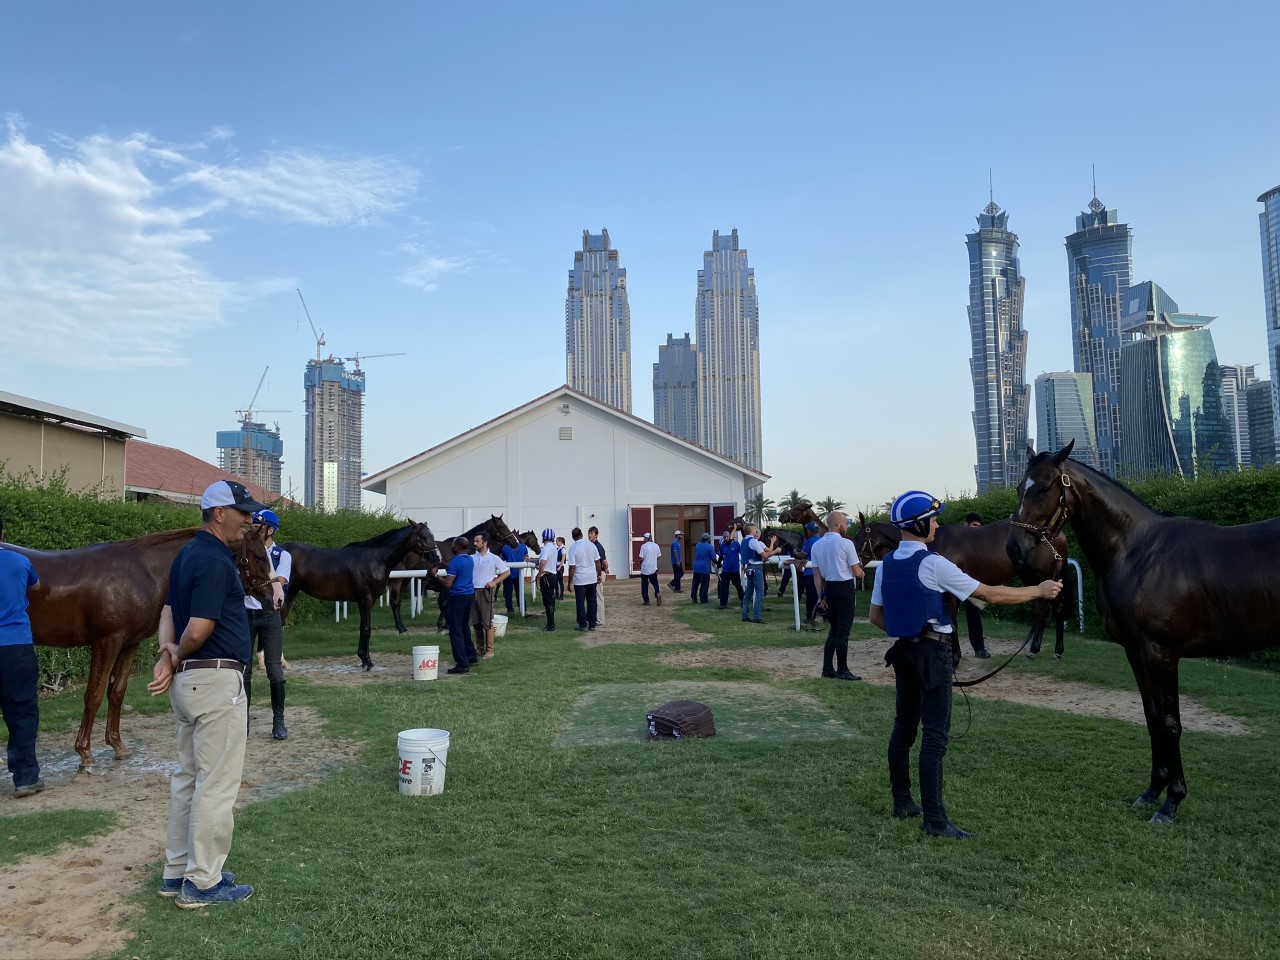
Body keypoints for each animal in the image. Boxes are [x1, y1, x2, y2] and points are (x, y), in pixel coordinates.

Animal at [11, 527, 272, 773]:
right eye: (260, 556)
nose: (273, 598)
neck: (141, 573)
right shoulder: (107, 641)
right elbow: (94, 694)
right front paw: (85, 754)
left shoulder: (129, 643)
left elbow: (117, 691)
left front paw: (118, 746)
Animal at [280, 522, 440, 670]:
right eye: (423, 536)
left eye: (432, 535)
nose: (437, 559)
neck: (376, 559)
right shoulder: (366, 600)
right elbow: (366, 629)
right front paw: (367, 661)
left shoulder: (367, 601)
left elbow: (363, 627)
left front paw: (362, 658)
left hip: (291, 593)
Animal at [860, 512, 1070, 660]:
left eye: (857, 535)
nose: (858, 563)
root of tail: (1056, 534)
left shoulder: (948, 591)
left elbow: (952, 622)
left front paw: (954, 656)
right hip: (1031, 577)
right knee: (1041, 609)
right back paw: (1033, 650)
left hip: (1045, 576)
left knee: (1057, 609)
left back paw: (1057, 651)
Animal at [1008, 442, 1280, 829]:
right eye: (1019, 488)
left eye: (1044, 488)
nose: (1014, 548)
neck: (1138, 552)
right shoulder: (1135, 651)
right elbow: (1151, 719)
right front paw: (1152, 791)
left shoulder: (1160, 652)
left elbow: (1169, 723)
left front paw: (1171, 804)